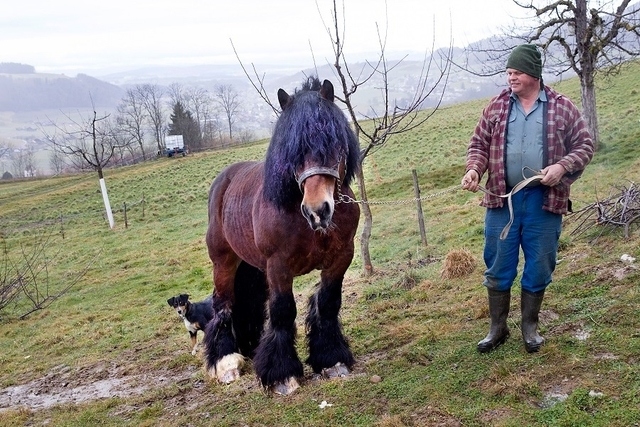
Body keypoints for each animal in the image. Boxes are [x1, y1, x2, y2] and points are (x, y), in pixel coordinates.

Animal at [202, 77, 361, 395]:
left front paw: (331, 360)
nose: (317, 210)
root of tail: (224, 180)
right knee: (222, 305)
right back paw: (225, 362)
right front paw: (281, 375)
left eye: (333, 143)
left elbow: (328, 303)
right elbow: (283, 312)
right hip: (223, 262)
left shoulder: (341, 258)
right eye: (293, 151)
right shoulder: (278, 267)